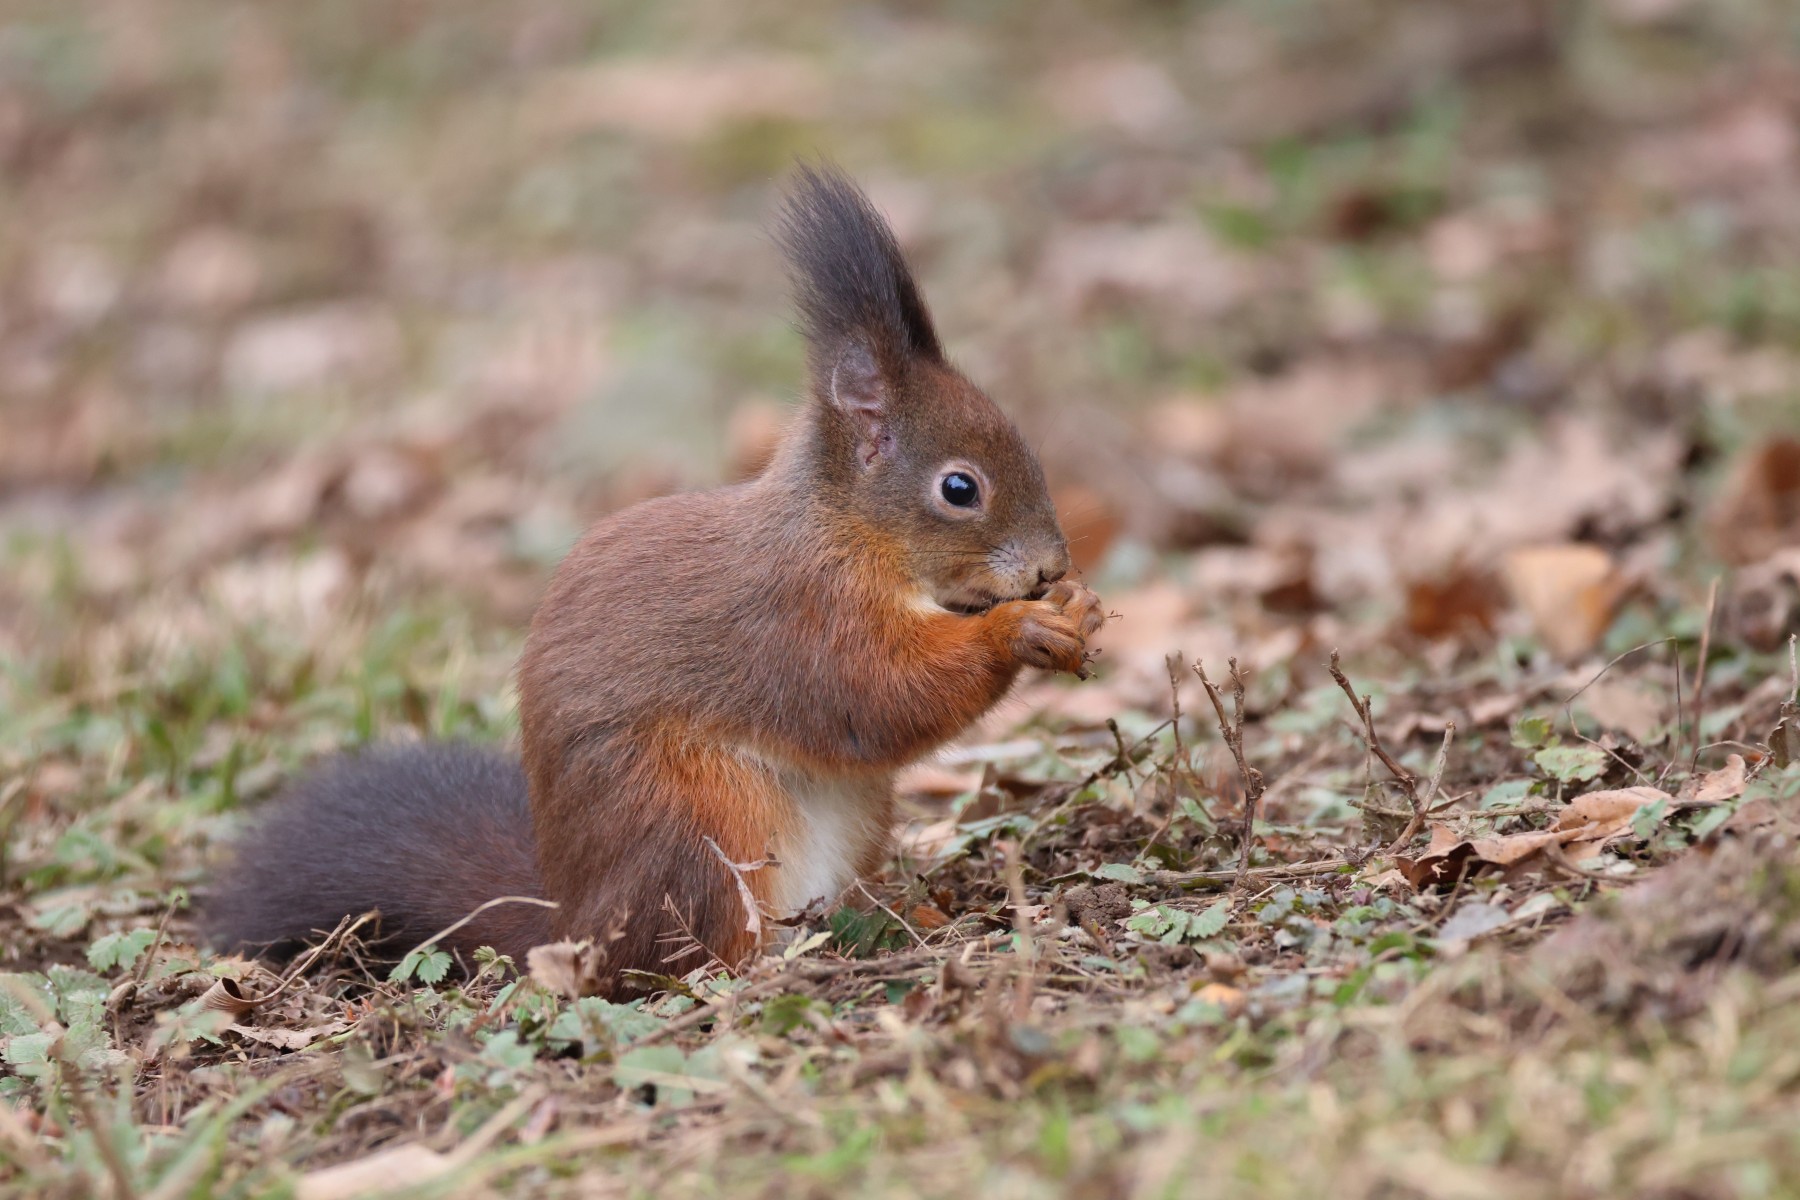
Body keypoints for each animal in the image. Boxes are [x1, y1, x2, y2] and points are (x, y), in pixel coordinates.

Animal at [206, 166, 1105, 996]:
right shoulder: (800, 612)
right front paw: (1022, 628)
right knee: (684, 956)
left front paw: (1078, 609)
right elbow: (878, 694)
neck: (850, 533)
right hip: (698, 823)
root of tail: (576, 925)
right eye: (959, 488)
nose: (1050, 567)